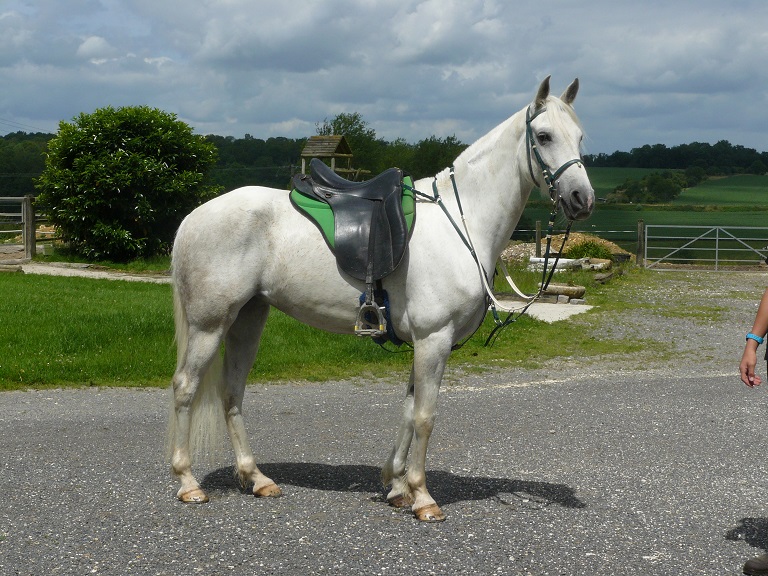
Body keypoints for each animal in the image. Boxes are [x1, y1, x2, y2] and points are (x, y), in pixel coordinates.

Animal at [171, 76, 596, 520]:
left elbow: (408, 411)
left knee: (231, 392)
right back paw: (188, 483)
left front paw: (397, 486)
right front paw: (422, 497)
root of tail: (194, 217)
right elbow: (424, 416)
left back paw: (256, 478)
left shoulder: (426, 343)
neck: (461, 224)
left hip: (248, 319)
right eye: (544, 136)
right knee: (185, 387)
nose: (582, 199)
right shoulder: (433, 339)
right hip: (209, 324)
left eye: (580, 136)